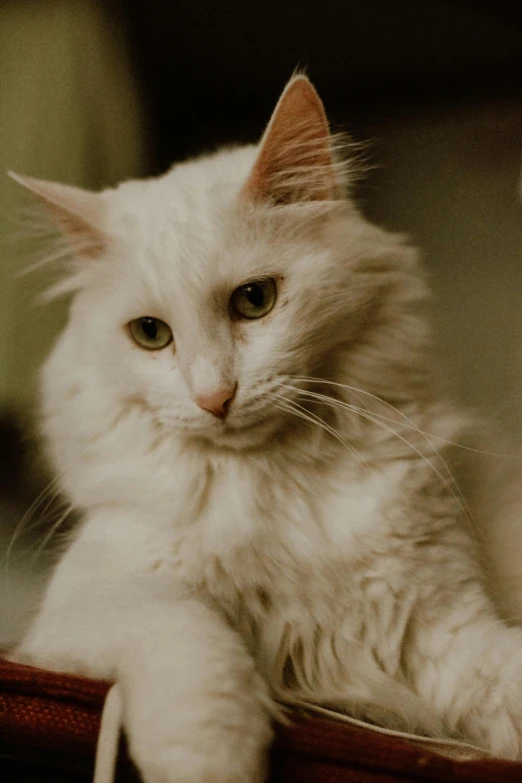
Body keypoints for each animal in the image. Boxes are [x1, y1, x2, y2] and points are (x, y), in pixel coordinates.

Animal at [8, 75, 522, 783]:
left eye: (254, 301)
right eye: (150, 334)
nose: (213, 398)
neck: (275, 488)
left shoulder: (439, 628)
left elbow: (505, 674)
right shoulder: (95, 607)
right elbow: (198, 660)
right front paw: (214, 766)